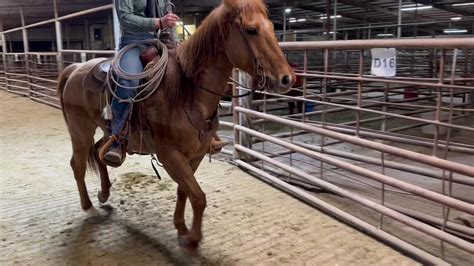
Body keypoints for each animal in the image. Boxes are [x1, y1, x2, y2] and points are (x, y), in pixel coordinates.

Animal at [57, 0, 294, 249]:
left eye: (271, 26)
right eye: (251, 30)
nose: (286, 78)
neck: (186, 92)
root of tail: (74, 69)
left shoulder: (195, 155)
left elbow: (185, 191)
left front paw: (181, 226)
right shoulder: (170, 155)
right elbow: (198, 197)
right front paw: (192, 237)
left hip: (108, 130)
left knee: (98, 153)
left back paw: (104, 193)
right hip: (80, 129)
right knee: (78, 164)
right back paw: (90, 208)